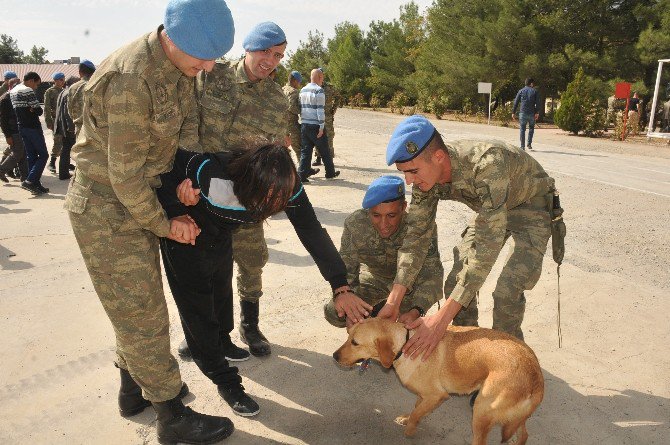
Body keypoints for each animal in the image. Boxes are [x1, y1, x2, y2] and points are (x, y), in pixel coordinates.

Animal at [334, 318, 544, 442]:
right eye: (348, 335)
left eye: (355, 343)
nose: (334, 356)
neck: (405, 343)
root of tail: (535, 374)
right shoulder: (424, 395)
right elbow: (416, 409)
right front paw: (407, 419)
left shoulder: (437, 396)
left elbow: (417, 414)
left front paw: (409, 431)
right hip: (515, 417)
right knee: (523, 434)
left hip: (481, 411)